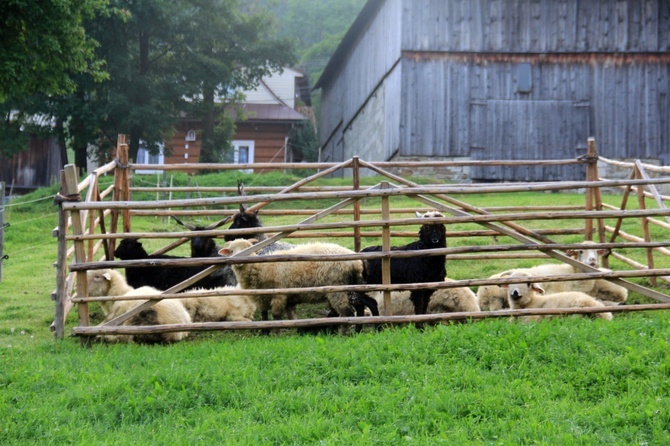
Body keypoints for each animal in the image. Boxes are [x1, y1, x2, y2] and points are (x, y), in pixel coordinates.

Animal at [219, 237, 368, 332]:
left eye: (249, 249)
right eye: (231, 250)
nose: (239, 261)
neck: (260, 268)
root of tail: (356, 262)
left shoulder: (279, 295)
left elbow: (276, 316)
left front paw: (276, 333)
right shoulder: (271, 297)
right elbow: (283, 317)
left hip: (337, 289)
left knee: (346, 312)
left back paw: (343, 333)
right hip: (350, 287)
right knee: (356, 309)